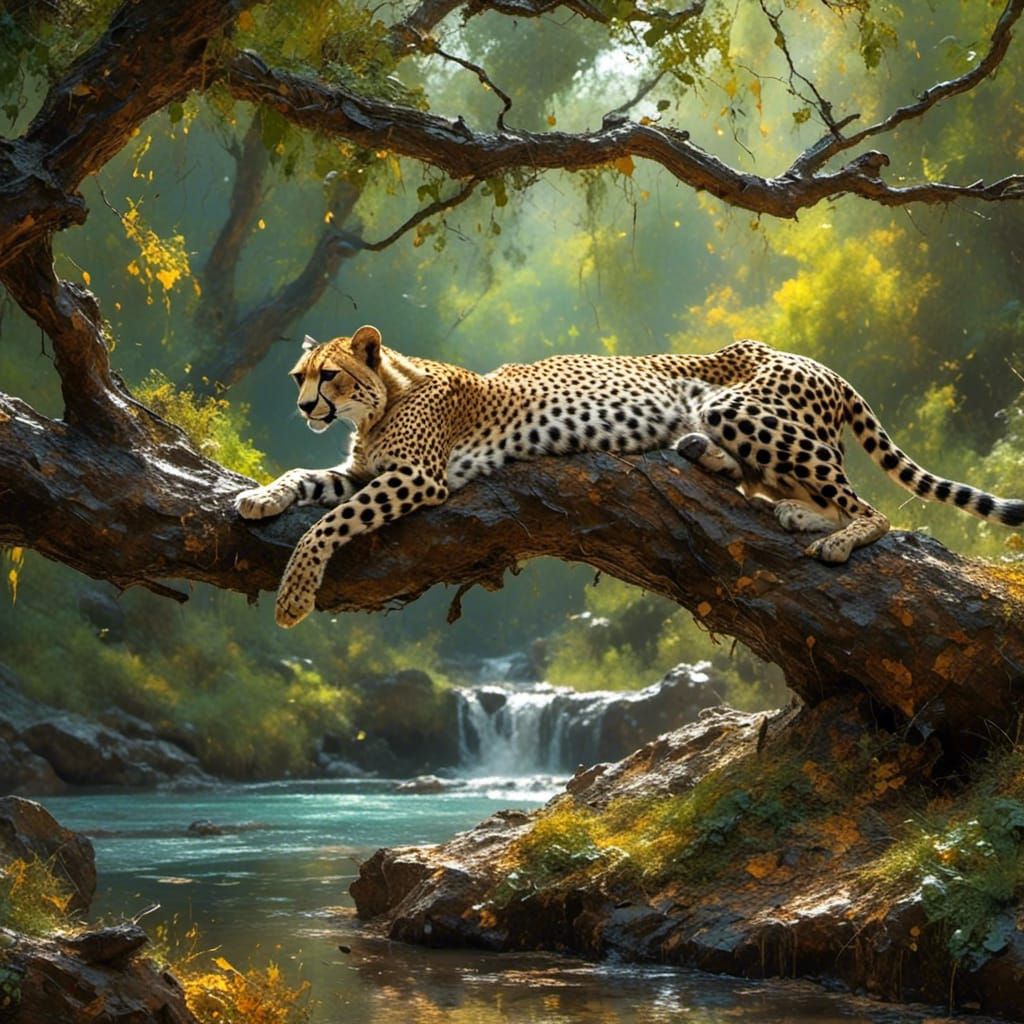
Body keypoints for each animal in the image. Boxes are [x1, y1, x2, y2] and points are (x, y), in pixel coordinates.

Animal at [235, 325, 1024, 628]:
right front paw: (256, 496)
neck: (383, 399)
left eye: (330, 377)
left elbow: (329, 523)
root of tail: (813, 359)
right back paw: (745, 481)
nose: (304, 406)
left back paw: (831, 536)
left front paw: (294, 597)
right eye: (300, 377)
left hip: (743, 407)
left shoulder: (417, 478)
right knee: (786, 486)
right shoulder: (361, 470)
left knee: (869, 507)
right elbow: (306, 477)